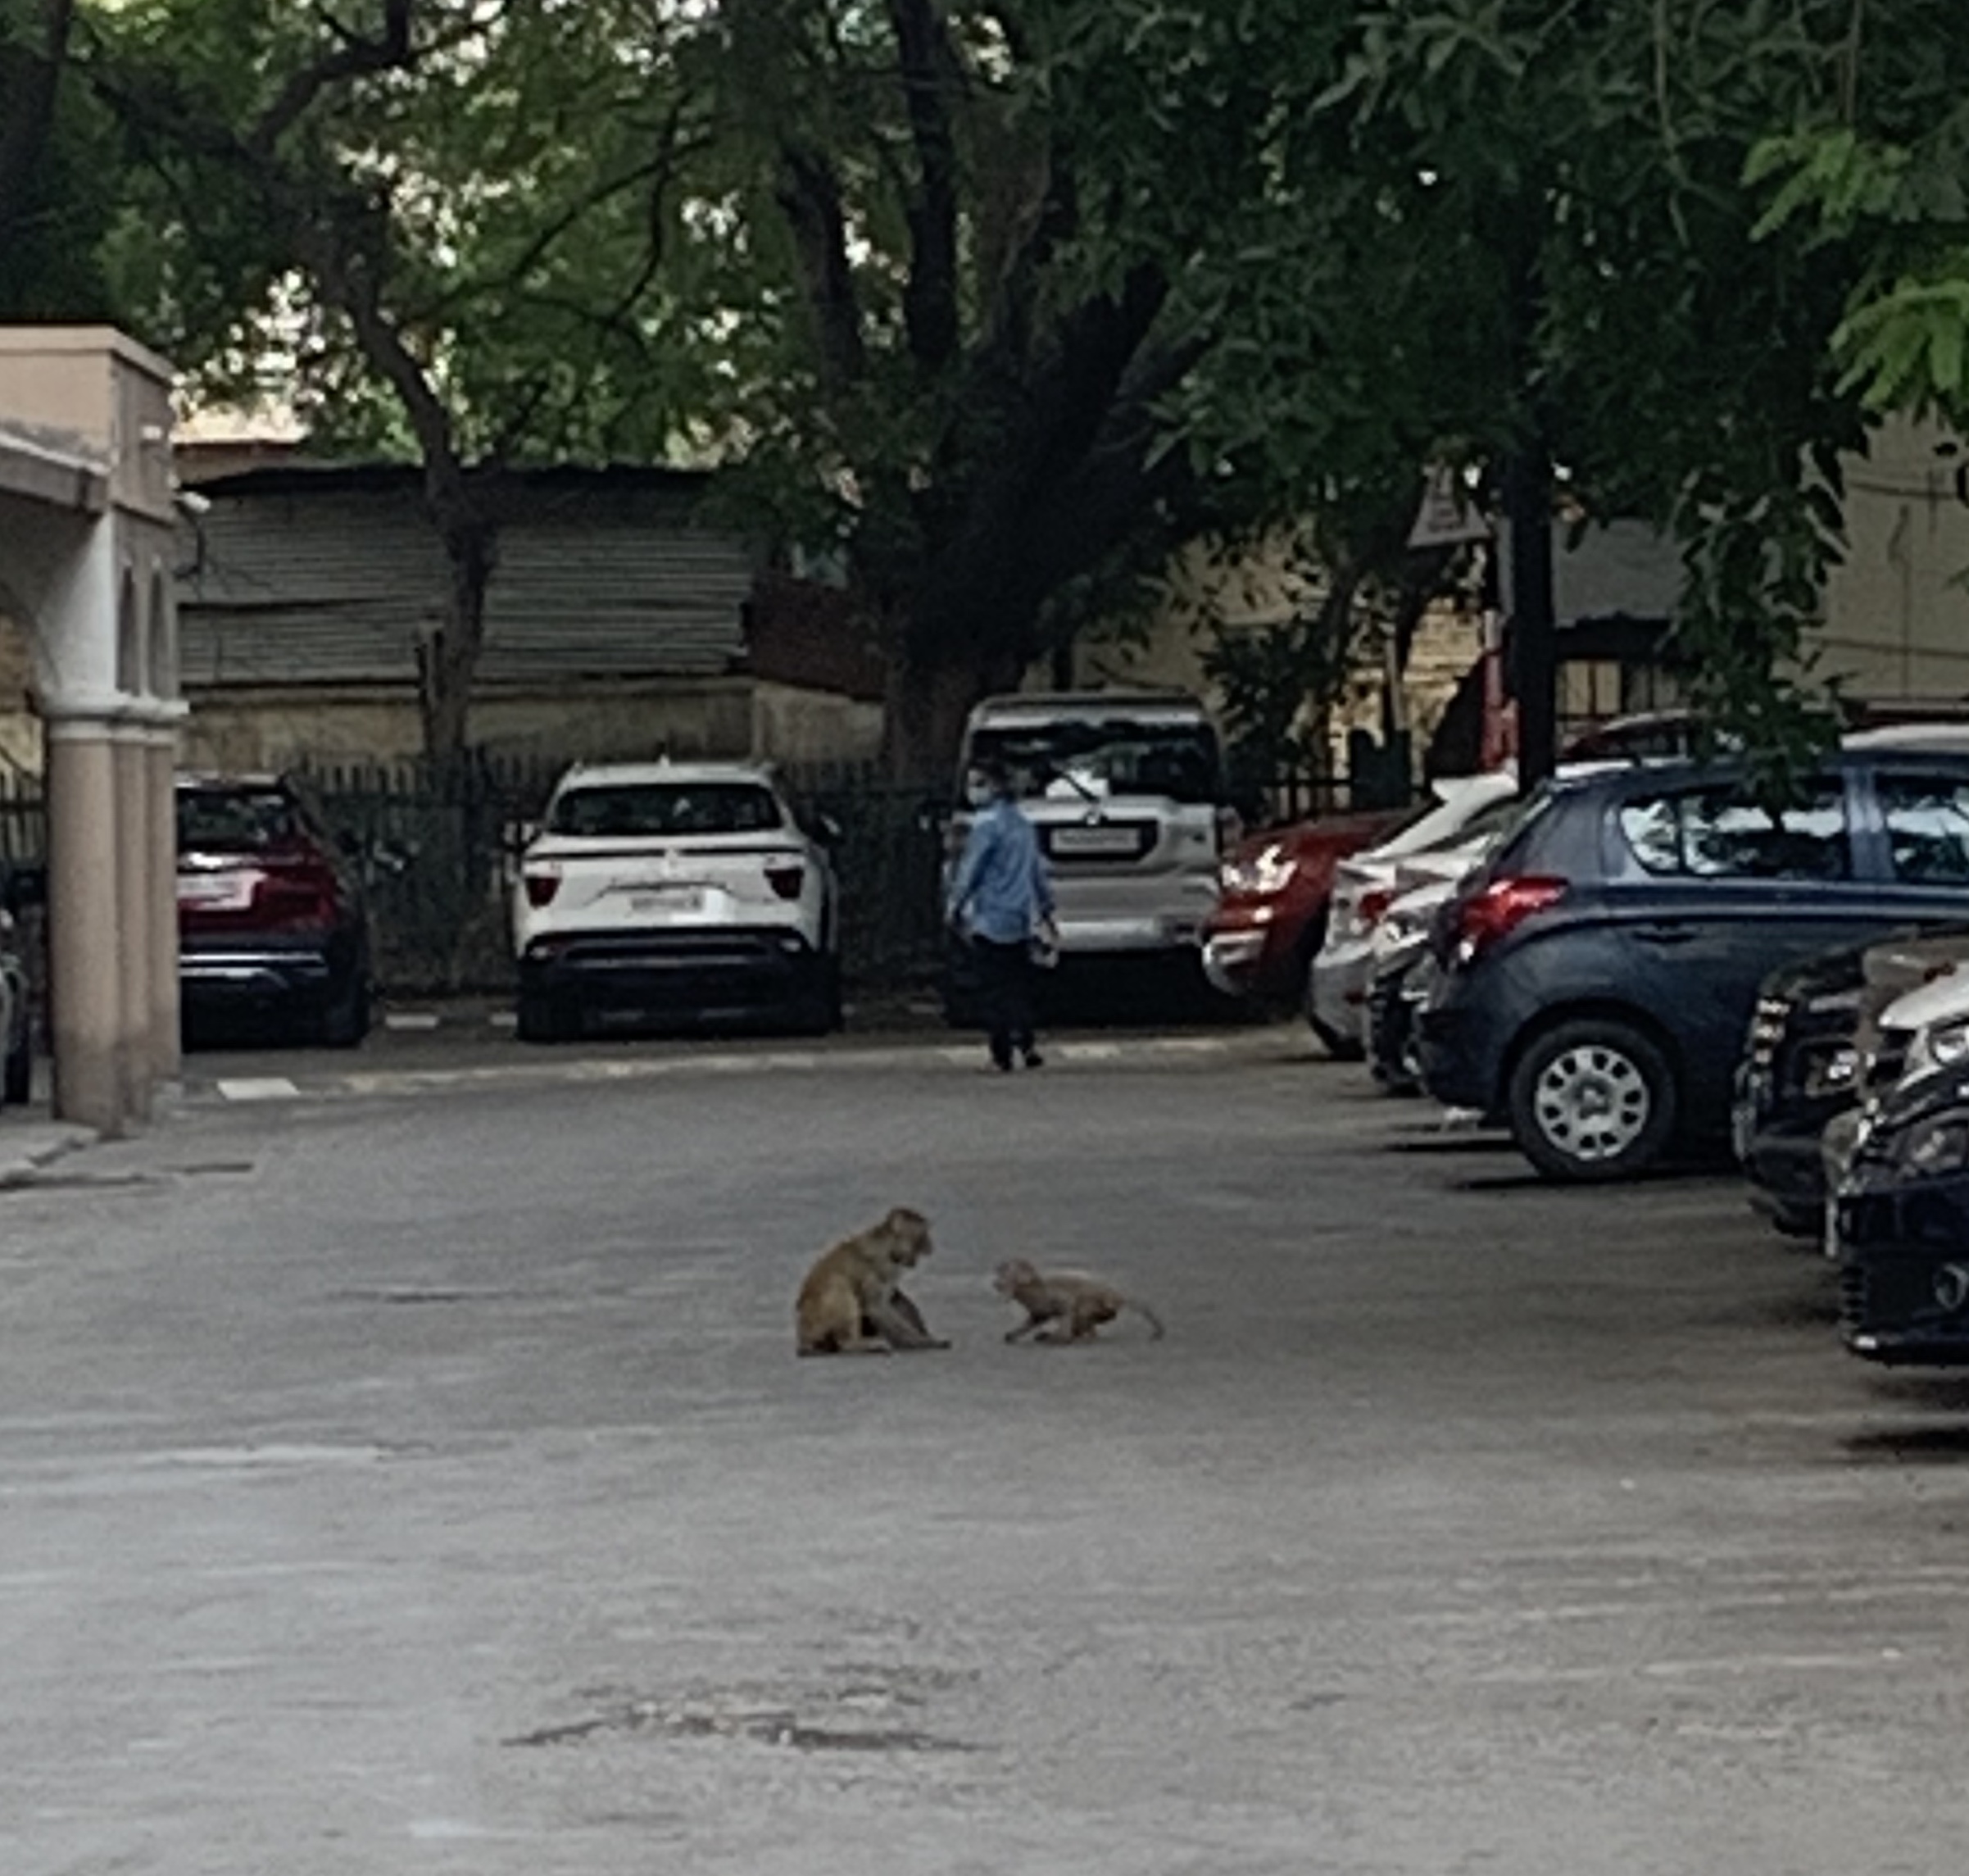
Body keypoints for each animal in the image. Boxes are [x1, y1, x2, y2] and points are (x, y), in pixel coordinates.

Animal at [795, 1207, 952, 1355]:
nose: (930, 1247)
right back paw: (852, 1343)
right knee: (839, 1286)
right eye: (923, 1236)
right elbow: (876, 1308)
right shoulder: (877, 1267)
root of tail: (804, 1337)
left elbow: (893, 1298)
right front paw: (923, 1341)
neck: (889, 1249)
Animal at [992, 1258, 1165, 1345]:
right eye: (1000, 1270)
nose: (995, 1282)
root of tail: (1116, 1295)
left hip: (1099, 1304)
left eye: (1004, 1270)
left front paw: (1061, 1337)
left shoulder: (1052, 1296)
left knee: (1082, 1311)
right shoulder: (1038, 1308)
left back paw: (1070, 1336)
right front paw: (1013, 1334)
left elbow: (1068, 1305)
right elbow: (1036, 1319)